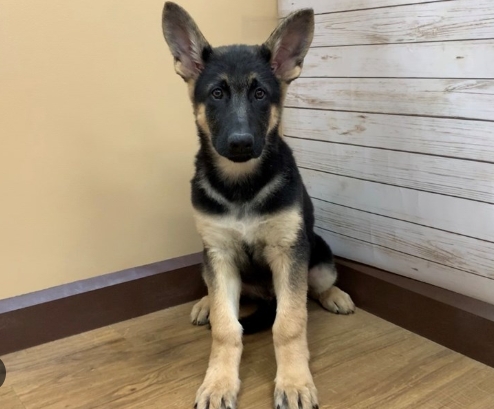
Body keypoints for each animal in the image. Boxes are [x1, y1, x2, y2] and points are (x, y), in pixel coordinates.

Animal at [162, 3, 356, 408]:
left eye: (261, 94)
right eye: (217, 93)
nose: (240, 143)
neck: (242, 186)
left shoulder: (288, 253)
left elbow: (290, 323)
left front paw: (294, 382)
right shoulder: (218, 254)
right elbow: (226, 327)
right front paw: (219, 382)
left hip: (318, 253)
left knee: (316, 287)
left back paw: (335, 296)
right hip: (210, 262)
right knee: (221, 296)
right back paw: (205, 303)